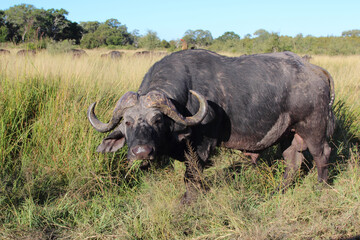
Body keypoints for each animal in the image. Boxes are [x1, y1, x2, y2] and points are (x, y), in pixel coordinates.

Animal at [87, 49, 334, 203]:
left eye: (157, 120)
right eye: (128, 122)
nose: (141, 152)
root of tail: (316, 71)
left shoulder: (202, 146)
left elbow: (191, 176)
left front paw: (187, 201)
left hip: (313, 127)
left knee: (322, 154)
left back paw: (321, 187)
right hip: (288, 133)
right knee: (292, 159)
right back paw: (279, 190)